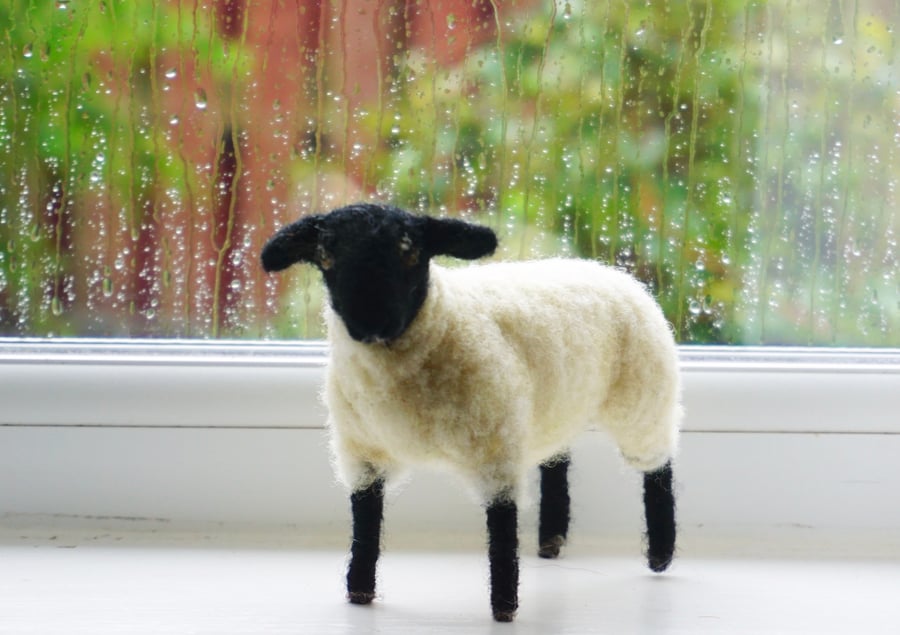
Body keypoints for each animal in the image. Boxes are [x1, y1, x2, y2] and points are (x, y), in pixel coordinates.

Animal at [260, 205, 684, 628]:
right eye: (326, 256)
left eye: (409, 253)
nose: (370, 323)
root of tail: (609, 271)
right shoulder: (362, 450)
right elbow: (364, 519)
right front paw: (359, 591)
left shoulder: (494, 449)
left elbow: (502, 528)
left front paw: (504, 607)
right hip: (557, 408)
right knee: (556, 460)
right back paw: (551, 541)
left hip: (643, 398)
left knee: (657, 468)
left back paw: (660, 556)